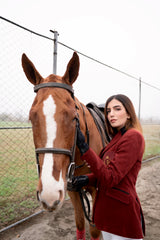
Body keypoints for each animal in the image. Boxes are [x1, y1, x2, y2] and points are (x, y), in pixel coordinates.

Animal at [21, 51, 106, 239]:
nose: (49, 192)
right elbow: (80, 223)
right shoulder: (72, 190)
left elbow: (95, 230)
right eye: (31, 118)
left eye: (74, 117)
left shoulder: (97, 189)